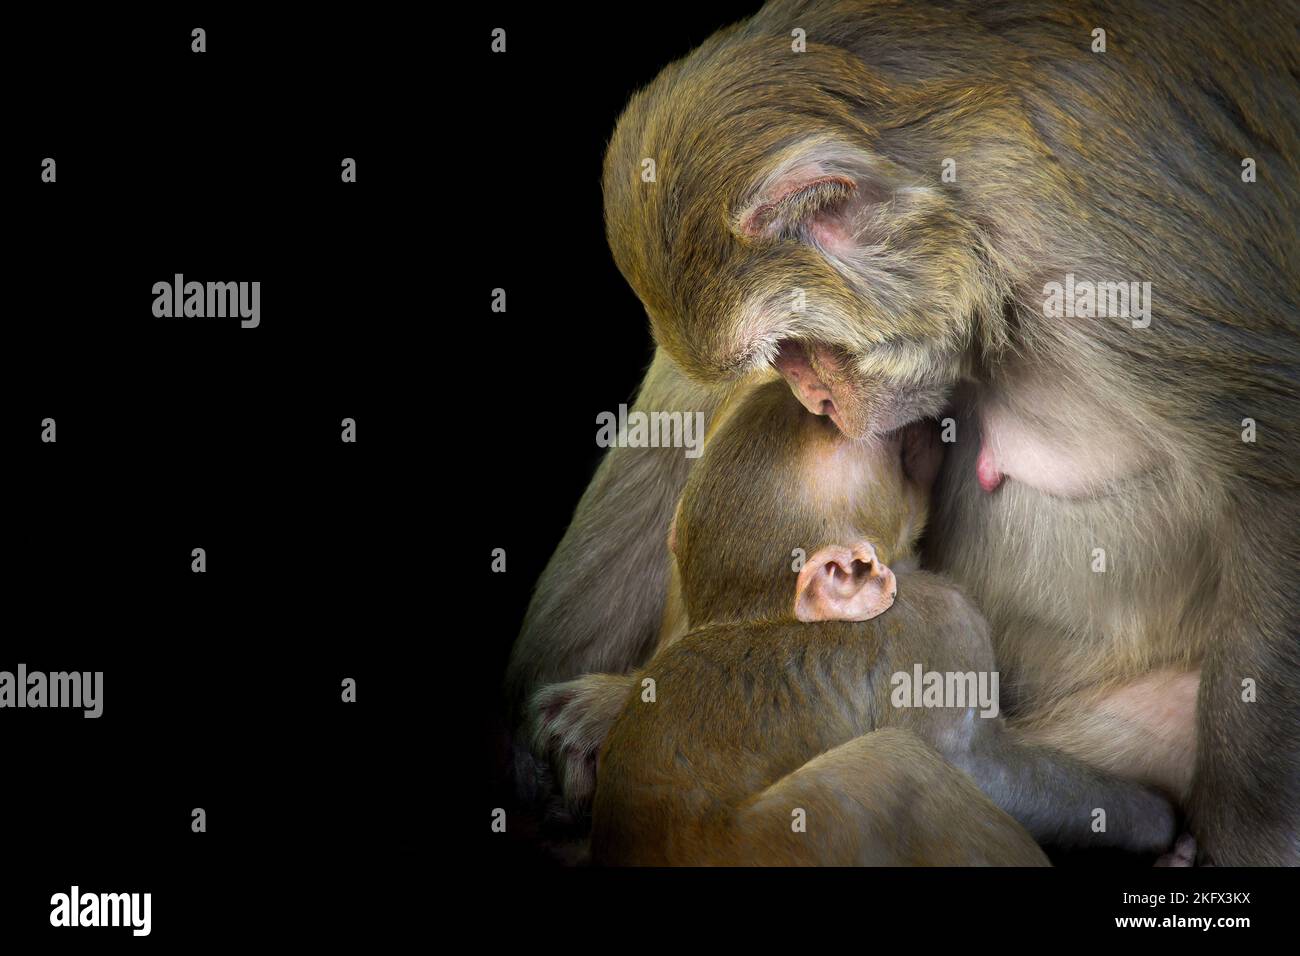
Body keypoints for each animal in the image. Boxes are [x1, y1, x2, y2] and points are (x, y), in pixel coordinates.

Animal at [547, 380, 1176, 865]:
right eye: (891, 445)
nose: (927, 417)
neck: (758, 611)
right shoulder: (941, 624)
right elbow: (975, 763)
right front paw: (1151, 817)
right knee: (897, 770)